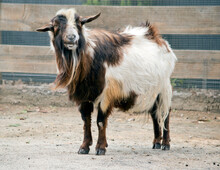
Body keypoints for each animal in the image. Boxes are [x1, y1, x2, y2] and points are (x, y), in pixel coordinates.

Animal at [36, 8, 177, 155]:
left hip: (164, 88)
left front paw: (100, 147)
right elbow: (86, 121)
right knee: (155, 113)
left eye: (79, 23)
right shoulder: (83, 96)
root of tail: (158, 39)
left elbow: (101, 121)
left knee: (165, 113)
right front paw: (84, 147)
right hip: (152, 92)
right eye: (56, 26)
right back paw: (156, 142)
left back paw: (165, 144)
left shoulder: (106, 94)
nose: (72, 37)